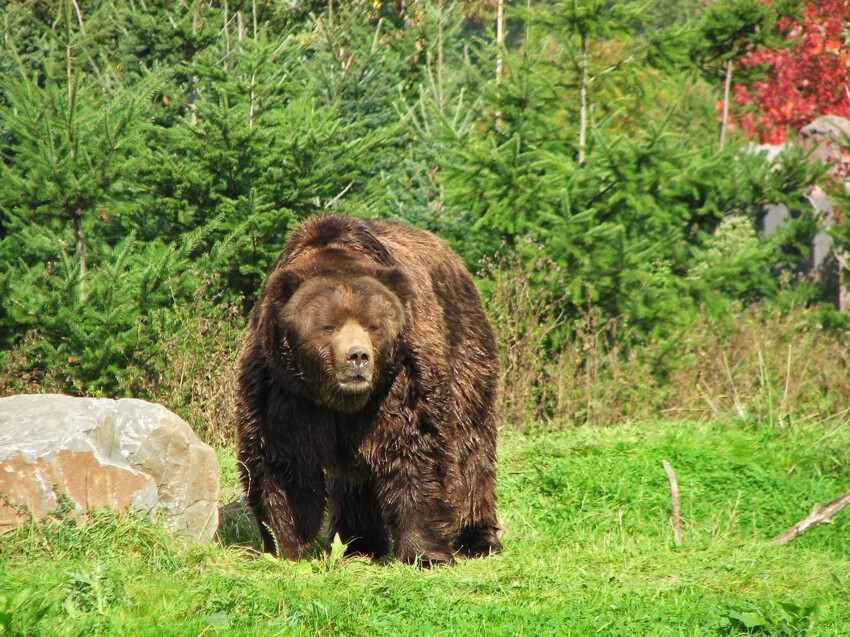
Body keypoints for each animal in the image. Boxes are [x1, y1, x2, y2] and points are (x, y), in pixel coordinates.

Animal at [234, 214, 496, 560]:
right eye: (328, 326)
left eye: (374, 325)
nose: (357, 356)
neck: (339, 400)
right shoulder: (281, 389)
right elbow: (281, 463)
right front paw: (284, 546)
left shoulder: (401, 378)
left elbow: (415, 447)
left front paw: (425, 553)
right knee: (353, 480)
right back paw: (360, 542)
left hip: (464, 341)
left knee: (471, 441)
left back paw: (477, 538)